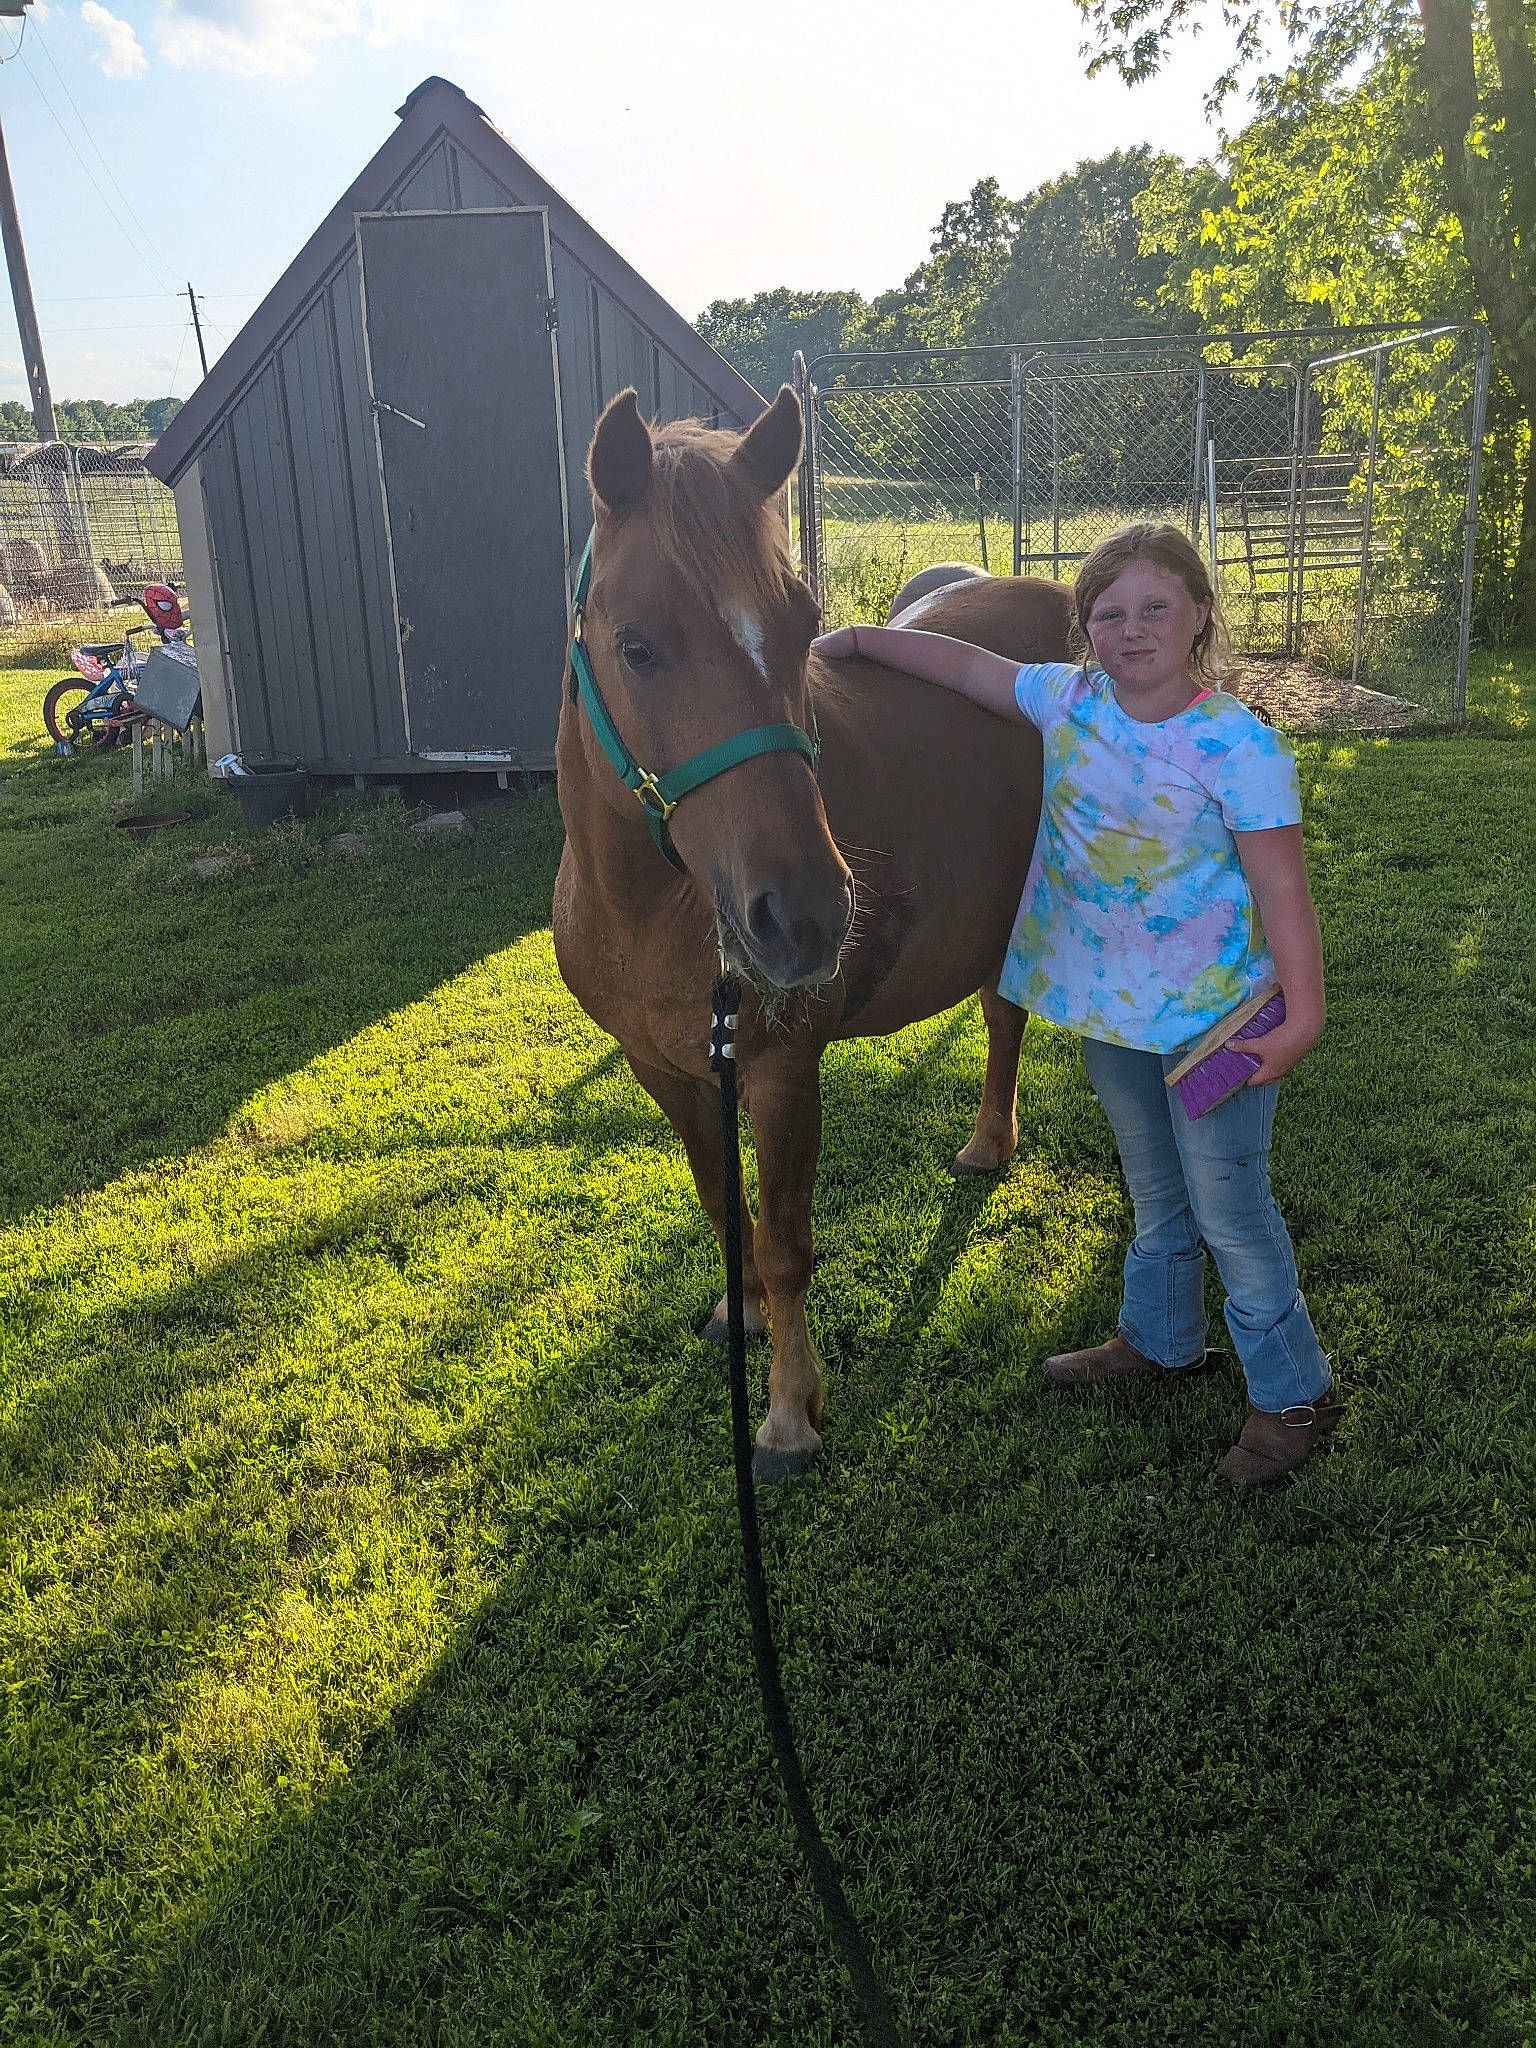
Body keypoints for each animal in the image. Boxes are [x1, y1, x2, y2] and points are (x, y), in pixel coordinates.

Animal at [552, 386, 1073, 1480]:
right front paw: (736, 1314)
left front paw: (789, 1410)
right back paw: (986, 1144)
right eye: (636, 645)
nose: (804, 915)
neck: (650, 911)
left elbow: (787, 1242)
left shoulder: (782, 1072)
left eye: (805, 625)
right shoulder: (664, 1070)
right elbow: (723, 1209)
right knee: (1002, 1017)